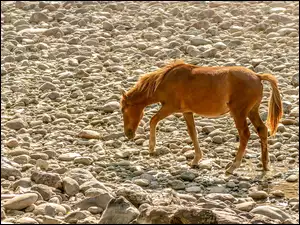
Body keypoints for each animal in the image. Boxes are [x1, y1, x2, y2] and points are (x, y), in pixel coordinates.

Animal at [120, 60, 284, 174]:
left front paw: (151, 148)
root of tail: (257, 76)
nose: (128, 134)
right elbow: (193, 133)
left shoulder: (169, 107)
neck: (166, 80)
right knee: (262, 130)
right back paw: (265, 164)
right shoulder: (187, 112)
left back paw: (233, 166)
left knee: (245, 135)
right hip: (252, 111)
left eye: (123, 110)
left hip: (239, 113)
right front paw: (196, 159)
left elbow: (153, 120)